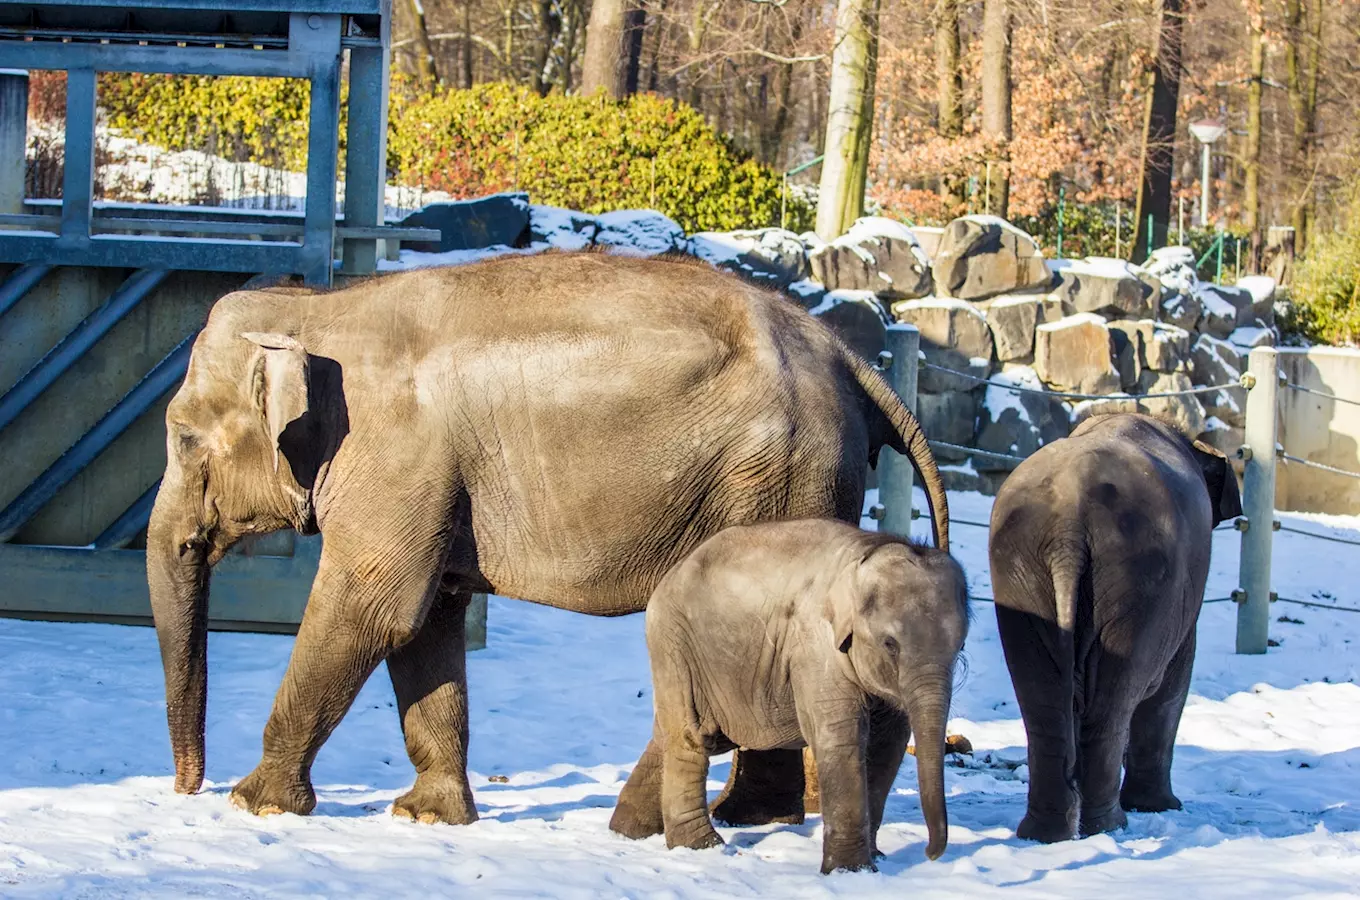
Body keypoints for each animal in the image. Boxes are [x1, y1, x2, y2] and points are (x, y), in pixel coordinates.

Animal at [146, 251, 946, 832]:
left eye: (183, 440)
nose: (186, 788)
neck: (321, 308)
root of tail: (850, 358)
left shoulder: (395, 458)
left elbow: (372, 609)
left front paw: (252, 804)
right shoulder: (430, 481)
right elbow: (425, 624)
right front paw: (428, 818)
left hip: (777, 478)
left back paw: (733, 816)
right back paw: (752, 815)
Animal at [636, 519, 968, 875]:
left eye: (959, 645)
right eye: (890, 644)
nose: (930, 854)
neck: (866, 552)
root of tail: (671, 574)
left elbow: (887, 745)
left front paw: (873, 860)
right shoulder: (814, 644)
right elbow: (840, 736)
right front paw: (848, 871)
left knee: (669, 732)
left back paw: (633, 829)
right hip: (675, 643)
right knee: (691, 736)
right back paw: (701, 846)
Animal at [990, 413, 1245, 848]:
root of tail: (1069, 522)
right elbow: (1173, 684)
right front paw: (1160, 807)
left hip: (1021, 571)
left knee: (1043, 702)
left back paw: (1046, 834)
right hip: (1138, 580)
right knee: (1114, 701)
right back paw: (1110, 825)